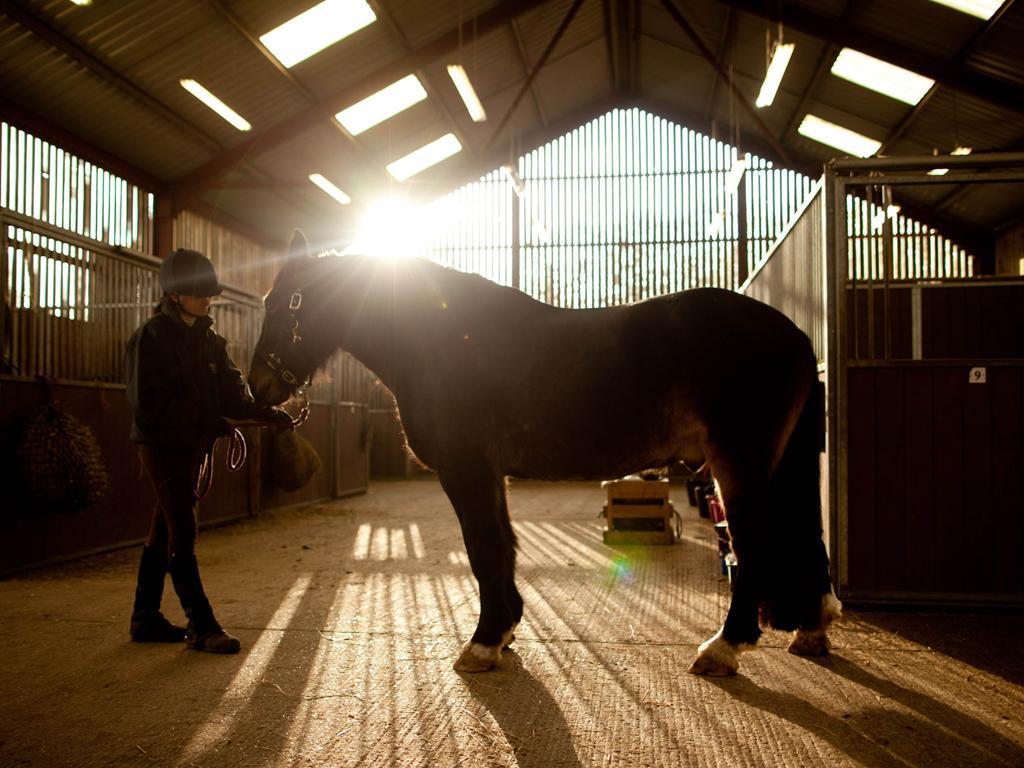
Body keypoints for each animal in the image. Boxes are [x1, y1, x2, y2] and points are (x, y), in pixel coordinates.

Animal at [247, 233, 841, 676]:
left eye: (287, 305)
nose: (257, 386)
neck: (439, 338)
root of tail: (795, 335)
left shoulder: (467, 469)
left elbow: (484, 548)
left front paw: (483, 643)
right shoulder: (491, 474)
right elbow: (502, 548)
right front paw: (505, 630)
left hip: (737, 466)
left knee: (755, 546)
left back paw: (722, 648)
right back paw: (809, 630)